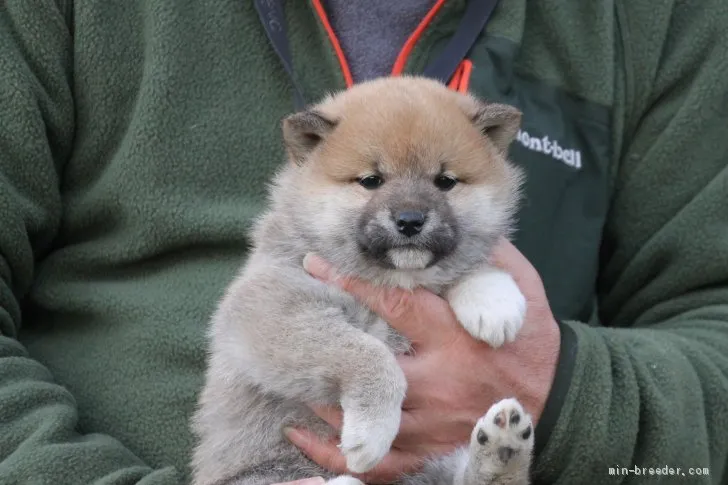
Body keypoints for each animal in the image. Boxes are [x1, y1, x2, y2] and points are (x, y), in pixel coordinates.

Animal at [191, 75, 536, 484]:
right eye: (372, 180)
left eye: (445, 181)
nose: (410, 220)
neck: (394, 278)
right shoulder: (274, 305)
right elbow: (370, 356)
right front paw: (372, 433)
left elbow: (469, 268)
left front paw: (495, 302)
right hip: (260, 473)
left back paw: (503, 447)